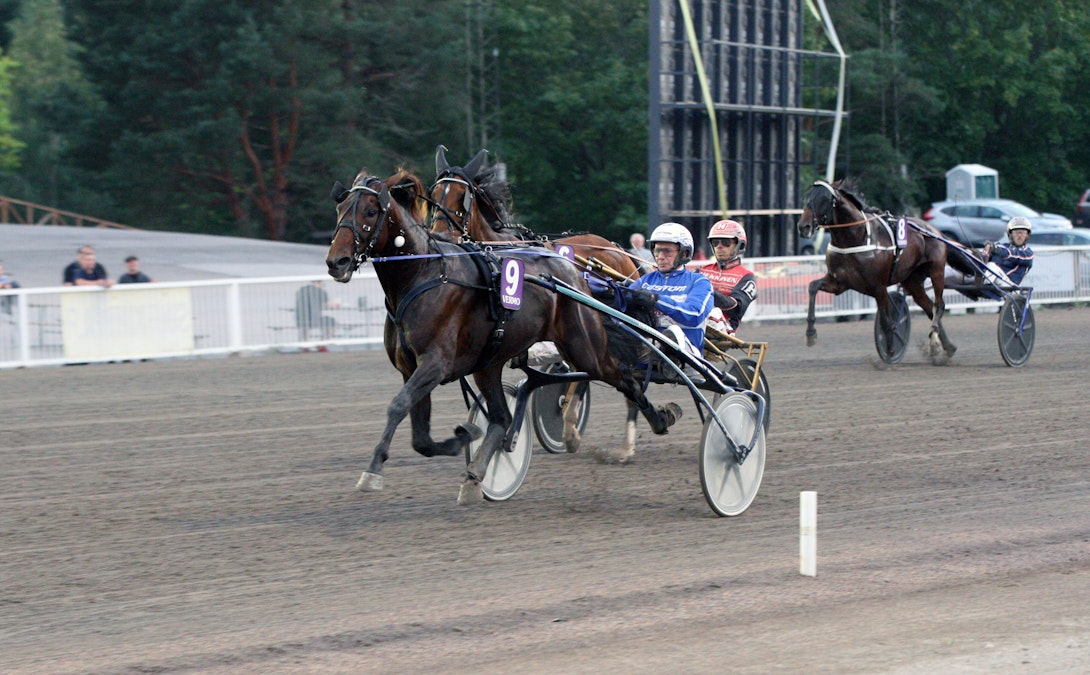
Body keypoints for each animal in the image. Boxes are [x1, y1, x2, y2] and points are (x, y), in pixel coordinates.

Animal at [324, 166, 680, 501]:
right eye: (340, 208)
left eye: (371, 211)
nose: (336, 261)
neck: (424, 273)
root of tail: (573, 272)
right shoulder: (411, 368)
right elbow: (420, 437)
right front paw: (462, 439)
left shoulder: (435, 364)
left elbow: (397, 406)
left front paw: (372, 472)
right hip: (489, 364)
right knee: (503, 417)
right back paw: (477, 474)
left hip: (584, 348)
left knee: (624, 377)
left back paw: (654, 421)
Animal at [793, 176, 954, 362]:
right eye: (807, 196)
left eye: (825, 199)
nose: (803, 226)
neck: (855, 238)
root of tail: (935, 231)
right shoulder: (839, 283)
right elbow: (813, 287)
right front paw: (810, 332)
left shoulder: (878, 286)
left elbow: (885, 319)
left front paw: (890, 349)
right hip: (912, 280)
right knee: (928, 307)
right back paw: (948, 346)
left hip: (936, 271)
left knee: (939, 305)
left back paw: (934, 341)